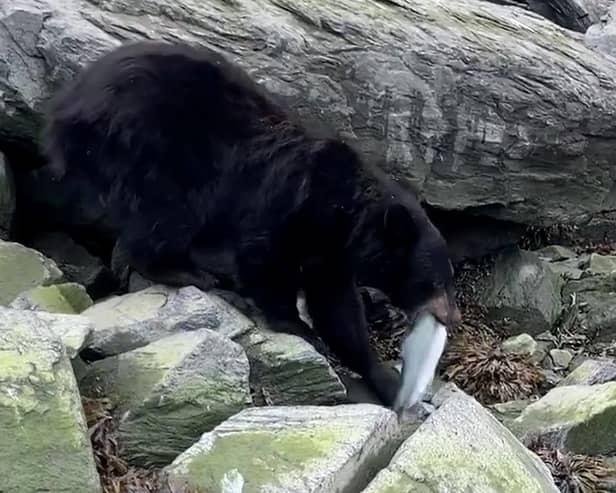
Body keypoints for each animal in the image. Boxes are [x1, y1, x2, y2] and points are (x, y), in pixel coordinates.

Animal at [39, 40, 462, 406]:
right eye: (435, 282)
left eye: (448, 280)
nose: (453, 318)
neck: (346, 214)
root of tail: (66, 105)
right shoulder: (292, 205)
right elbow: (263, 257)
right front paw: (297, 325)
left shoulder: (332, 256)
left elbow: (339, 310)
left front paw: (385, 379)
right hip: (158, 149)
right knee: (170, 213)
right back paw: (186, 272)